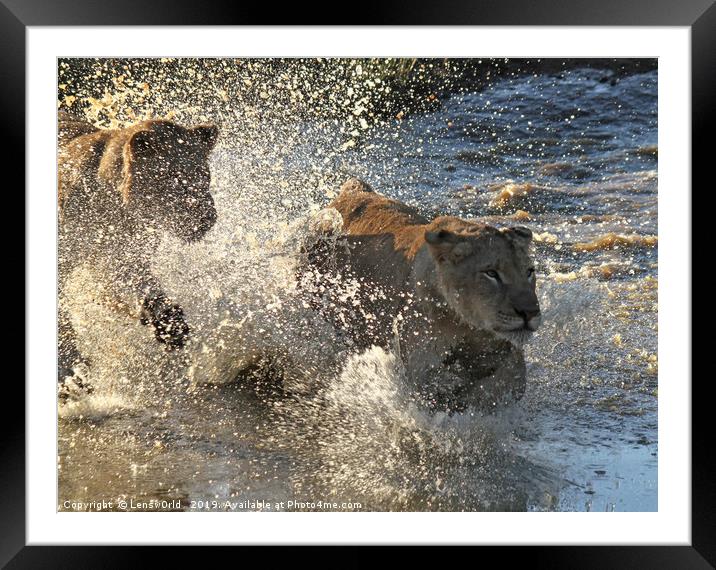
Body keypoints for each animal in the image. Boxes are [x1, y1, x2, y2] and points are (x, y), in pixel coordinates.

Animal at [58, 111, 218, 386]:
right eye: (173, 175)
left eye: (204, 174)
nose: (207, 217)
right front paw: (70, 366)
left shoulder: (125, 254)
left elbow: (139, 284)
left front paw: (171, 326)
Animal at [300, 178, 540, 408]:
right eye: (491, 273)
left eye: (529, 272)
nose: (530, 313)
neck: (466, 325)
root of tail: (353, 190)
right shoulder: (420, 370)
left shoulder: (507, 360)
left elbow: (504, 383)